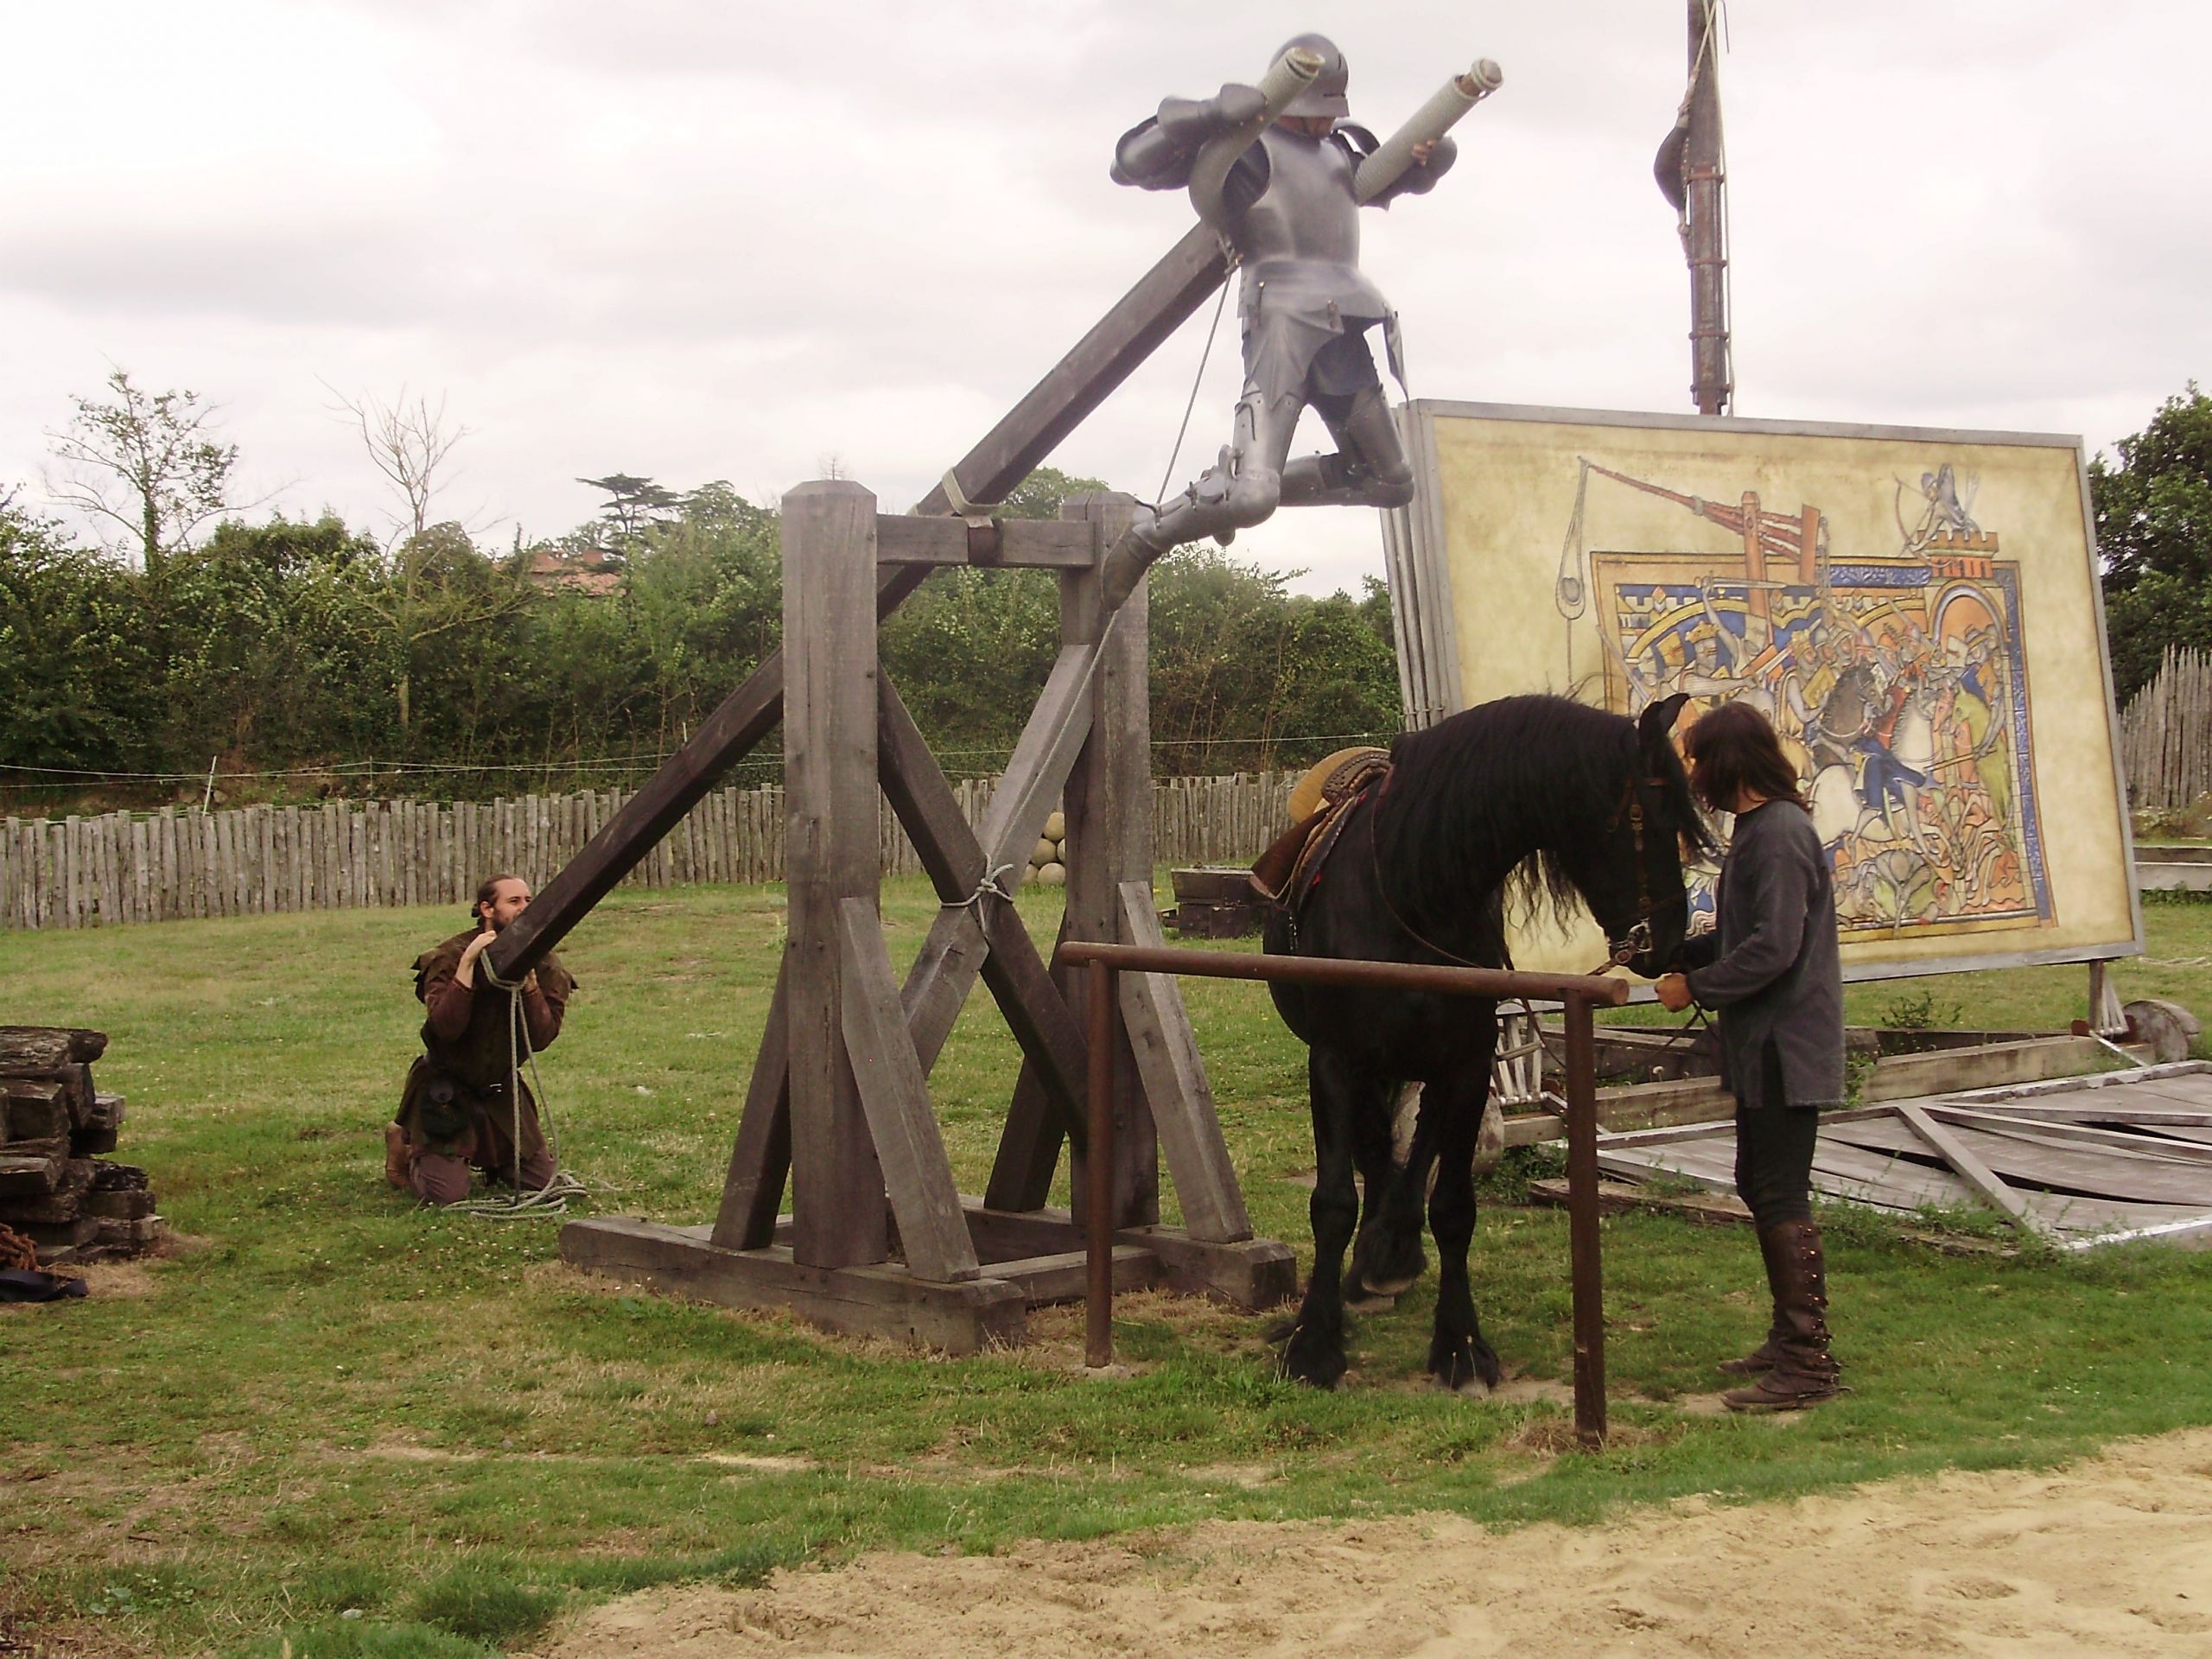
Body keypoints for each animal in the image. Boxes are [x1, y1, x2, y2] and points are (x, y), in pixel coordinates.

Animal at [1265, 690, 1707, 1389]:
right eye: (1658, 819)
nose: (1669, 946)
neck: (1415, 894)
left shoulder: (1467, 1066)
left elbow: (1451, 1205)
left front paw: (1460, 1343)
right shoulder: (1335, 1061)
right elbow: (1333, 1201)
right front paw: (1314, 1342)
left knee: (1409, 1152)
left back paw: (1389, 1251)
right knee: (1376, 1148)